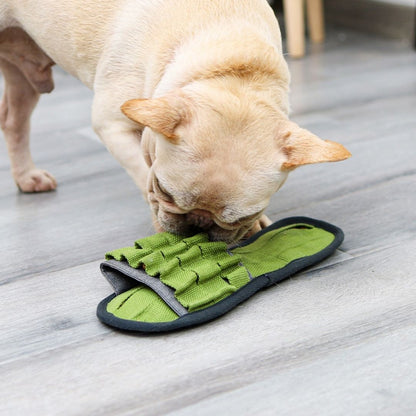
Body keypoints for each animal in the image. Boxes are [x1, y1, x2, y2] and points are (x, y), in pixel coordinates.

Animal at [0, 0, 352, 242]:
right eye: (164, 191)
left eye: (242, 215)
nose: (199, 223)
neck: (234, 66)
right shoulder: (113, 124)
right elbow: (141, 171)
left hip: (23, 80)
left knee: (15, 121)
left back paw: (27, 176)